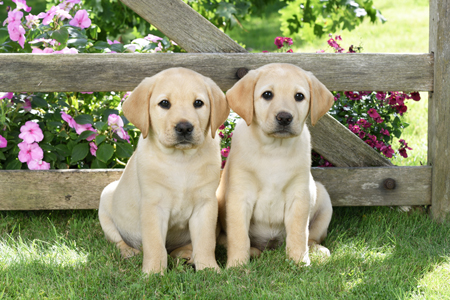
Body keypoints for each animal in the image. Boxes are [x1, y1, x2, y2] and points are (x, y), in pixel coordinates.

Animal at [100, 68, 230, 274]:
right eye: (164, 103)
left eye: (198, 103)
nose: (184, 127)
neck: (181, 160)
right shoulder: (154, 206)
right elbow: (155, 245)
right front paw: (154, 273)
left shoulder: (206, 204)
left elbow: (205, 242)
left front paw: (209, 268)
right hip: (106, 198)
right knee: (117, 240)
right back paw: (128, 251)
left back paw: (186, 255)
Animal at [218, 62, 334, 268]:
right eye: (267, 94)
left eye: (299, 96)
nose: (284, 117)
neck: (274, 150)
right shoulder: (239, 196)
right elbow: (239, 236)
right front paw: (237, 265)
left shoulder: (299, 195)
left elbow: (298, 233)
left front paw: (299, 261)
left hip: (323, 200)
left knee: (311, 237)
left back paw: (317, 250)